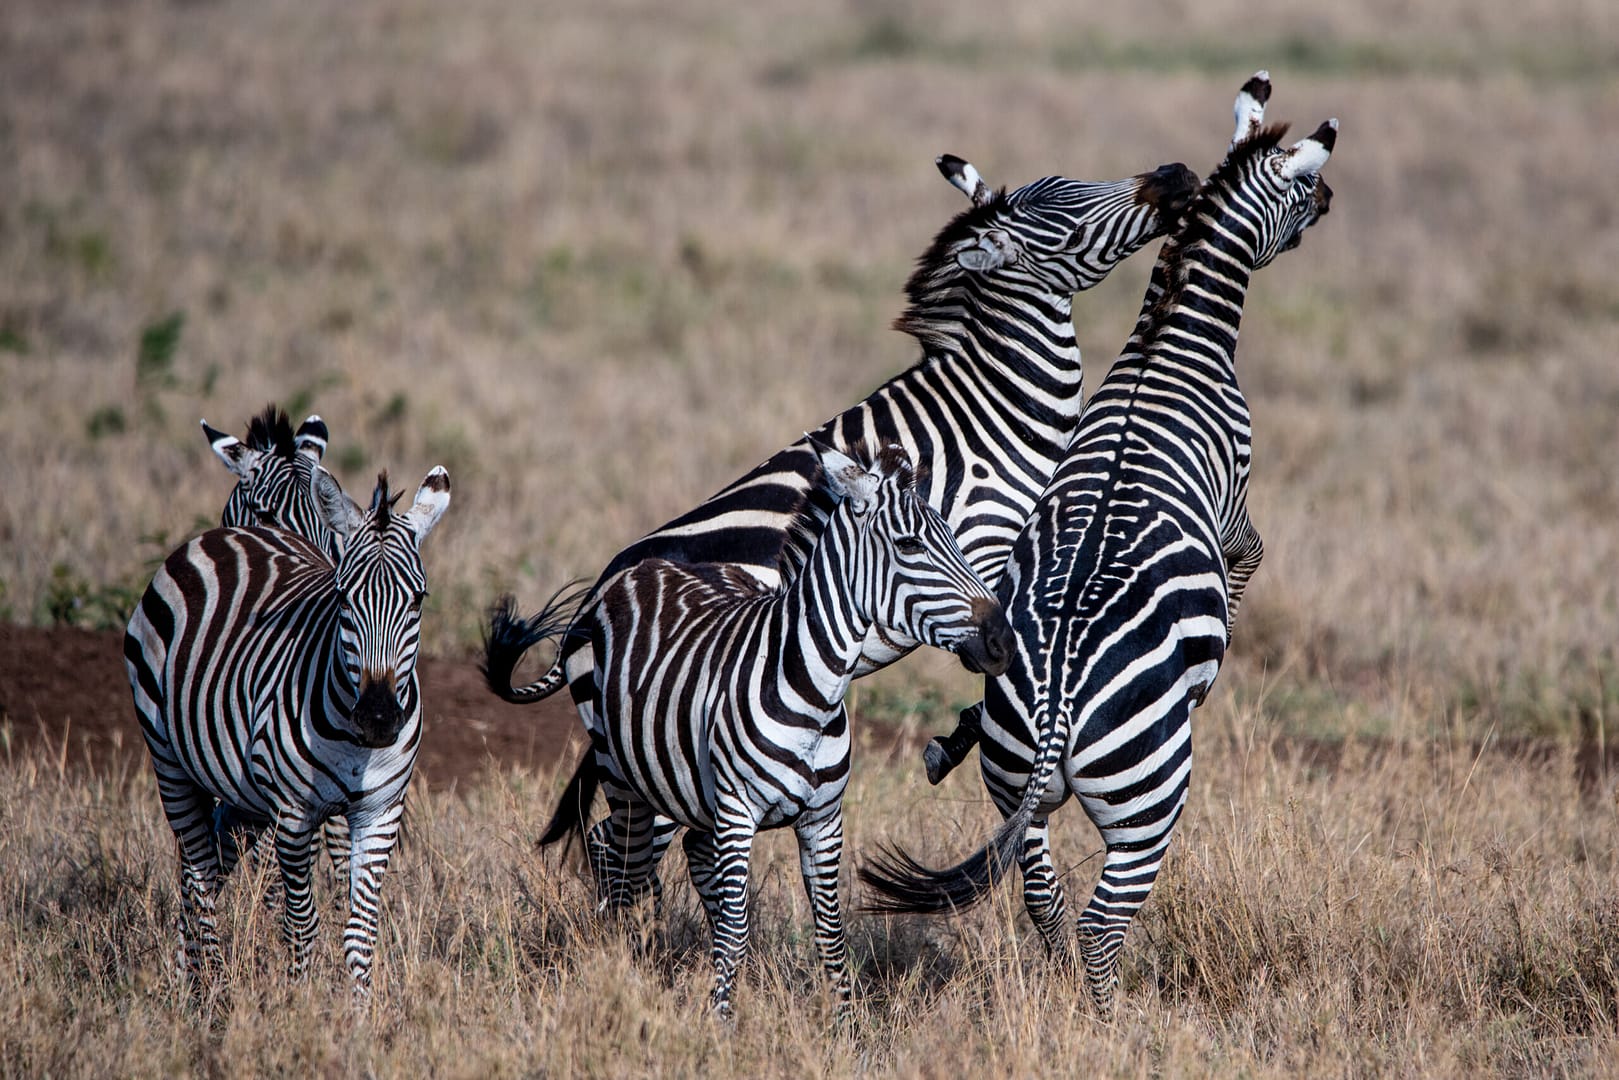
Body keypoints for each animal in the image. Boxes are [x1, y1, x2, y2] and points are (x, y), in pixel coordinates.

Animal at [125, 465, 451, 995]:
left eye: (418, 599)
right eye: (342, 596)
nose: (379, 718)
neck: (355, 743)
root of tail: (234, 532)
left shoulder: (381, 813)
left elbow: (360, 931)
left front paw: (360, 1011)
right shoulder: (295, 814)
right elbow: (302, 925)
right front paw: (298, 1001)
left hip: (244, 790)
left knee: (211, 861)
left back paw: (185, 974)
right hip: (169, 758)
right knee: (197, 867)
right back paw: (208, 985)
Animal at [487, 151, 1198, 904]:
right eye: (1063, 214)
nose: (1177, 174)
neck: (989, 415)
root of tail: (595, 598)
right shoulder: (984, 546)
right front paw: (962, 732)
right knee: (621, 844)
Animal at [524, 442, 1013, 1020]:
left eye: (956, 540)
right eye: (910, 545)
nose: (1004, 641)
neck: (811, 693)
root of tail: (639, 569)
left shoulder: (824, 819)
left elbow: (830, 933)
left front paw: (845, 1027)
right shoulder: (737, 813)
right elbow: (734, 931)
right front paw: (720, 1021)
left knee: (676, 858)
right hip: (625, 775)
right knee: (626, 868)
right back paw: (632, 962)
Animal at [858, 73, 1338, 1017]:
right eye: (1304, 186)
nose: (1333, 199)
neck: (1166, 342)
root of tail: (1052, 713)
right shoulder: (1234, 497)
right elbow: (1250, 559)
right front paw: (1221, 637)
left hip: (1018, 784)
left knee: (1040, 894)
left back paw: (1054, 991)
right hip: (1147, 802)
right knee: (1098, 922)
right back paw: (1110, 1022)